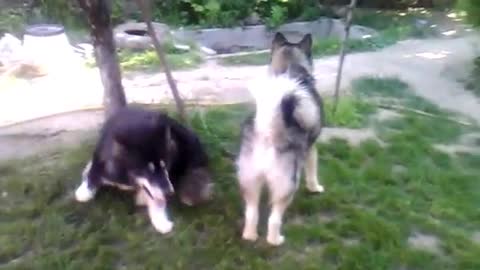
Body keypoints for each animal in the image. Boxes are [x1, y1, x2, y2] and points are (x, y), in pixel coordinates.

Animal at [75, 107, 214, 234]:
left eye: (165, 165)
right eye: (148, 170)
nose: (170, 193)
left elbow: (157, 199)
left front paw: (161, 221)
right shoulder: (101, 161)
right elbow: (94, 172)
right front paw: (85, 190)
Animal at [237, 32, 326, 246]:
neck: (290, 69)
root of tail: (268, 133)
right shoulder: (311, 149)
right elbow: (313, 172)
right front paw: (315, 188)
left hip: (250, 182)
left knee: (251, 214)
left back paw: (250, 236)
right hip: (287, 184)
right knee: (274, 219)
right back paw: (276, 240)